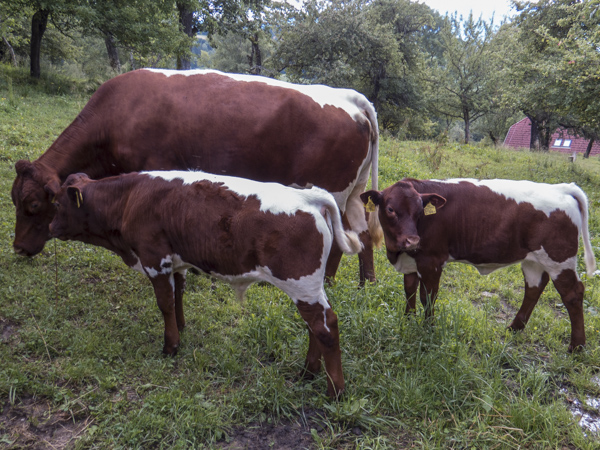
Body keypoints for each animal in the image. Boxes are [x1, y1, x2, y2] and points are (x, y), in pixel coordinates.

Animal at [9, 68, 380, 282]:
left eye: (33, 205)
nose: (18, 249)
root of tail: (349, 97)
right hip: (352, 191)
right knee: (361, 231)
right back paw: (367, 281)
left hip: (332, 190)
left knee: (339, 240)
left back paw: (329, 280)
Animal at [49, 169, 360, 398]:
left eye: (58, 204)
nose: (50, 227)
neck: (129, 198)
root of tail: (308, 195)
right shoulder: (176, 262)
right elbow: (178, 295)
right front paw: (181, 326)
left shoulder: (154, 259)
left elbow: (164, 303)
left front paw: (170, 346)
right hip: (308, 288)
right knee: (315, 326)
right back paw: (308, 371)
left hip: (301, 283)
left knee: (325, 327)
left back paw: (335, 390)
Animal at [360, 177, 596, 352]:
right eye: (390, 209)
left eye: (419, 211)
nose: (413, 240)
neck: (398, 252)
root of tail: (561, 187)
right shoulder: (411, 261)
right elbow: (409, 289)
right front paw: (408, 320)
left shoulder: (432, 261)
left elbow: (427, 296)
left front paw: (427, 329)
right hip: (533, 260)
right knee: (534, 288)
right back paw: (514, 328)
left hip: (559, 259)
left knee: (573, 294)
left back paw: (577, 347)